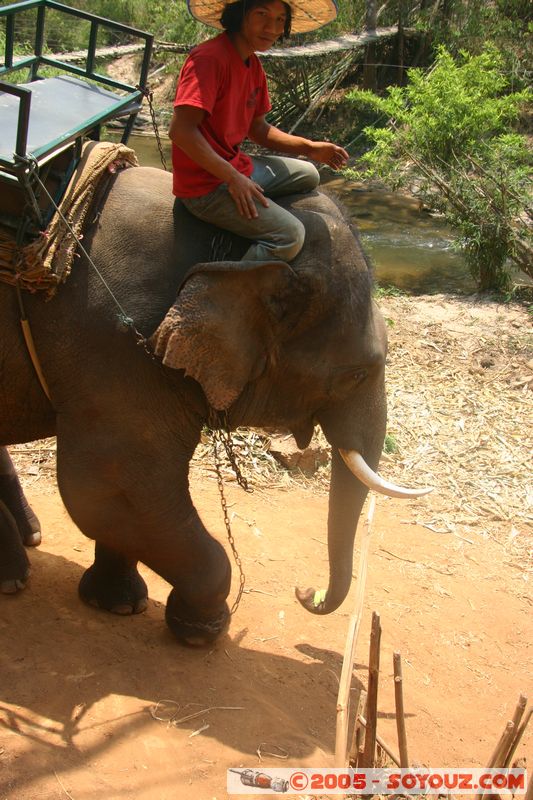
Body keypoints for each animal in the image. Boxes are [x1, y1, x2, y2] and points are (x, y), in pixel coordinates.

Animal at [0, 166, 428, 648]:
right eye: (356, 374)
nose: (305, 592)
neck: (227, 251)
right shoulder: (116, 344)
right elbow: (110, 487)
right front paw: (203, 629)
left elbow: (117, 498)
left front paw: (120, 605)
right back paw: (13, 577)